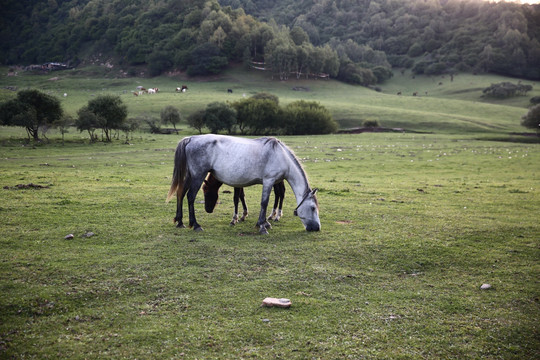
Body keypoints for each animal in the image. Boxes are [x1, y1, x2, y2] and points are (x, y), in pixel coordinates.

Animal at [167, 134, 318, 233]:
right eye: (313, 208)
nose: (317, 228)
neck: (280, 155)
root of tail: (190, 139)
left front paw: (264, 223)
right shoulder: (268, 181)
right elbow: (264, 202)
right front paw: (262, 226)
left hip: (190, 176)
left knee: (180, 193)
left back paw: (180, 222)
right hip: (198, 175)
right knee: (190, 196)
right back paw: (195, 224)